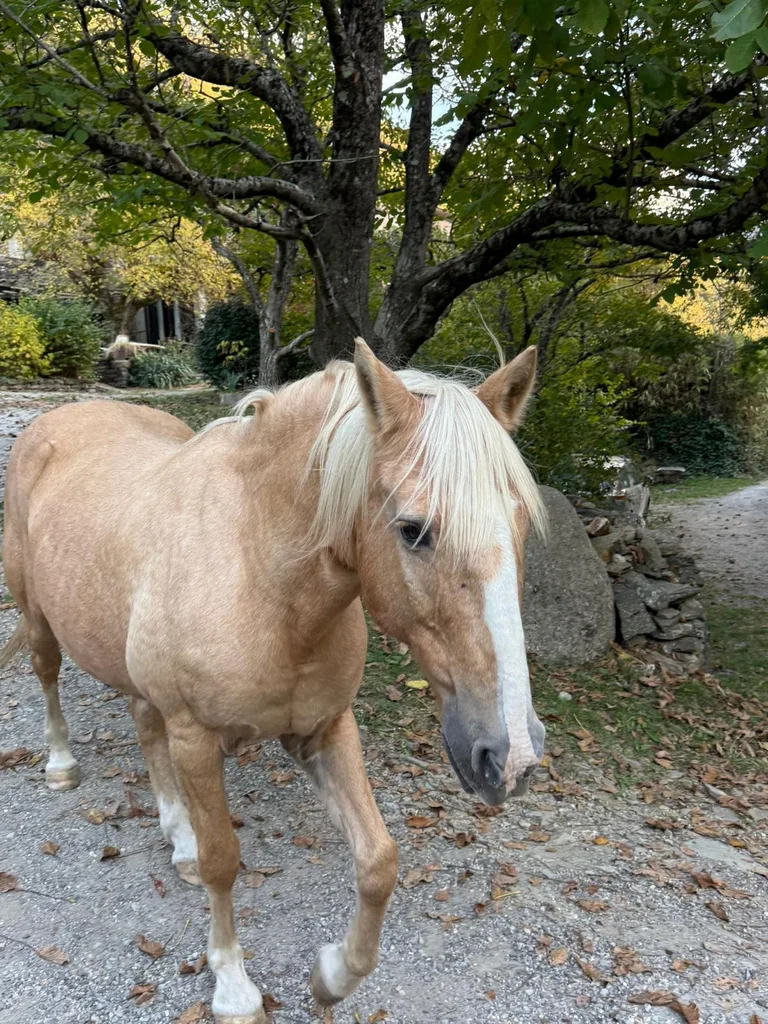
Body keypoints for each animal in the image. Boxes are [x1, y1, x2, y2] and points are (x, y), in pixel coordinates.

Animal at [2, 339, 546, 1023]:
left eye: (522, 527)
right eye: (413, 530)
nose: (511, 756)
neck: (258, 572)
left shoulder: (324, 730)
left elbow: (379, 861)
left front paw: (333, 976)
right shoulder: (195, 740)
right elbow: (223, 863)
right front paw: (233, 987)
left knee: (143, 724)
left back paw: (176, 837)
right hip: (38, 618)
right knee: (48, 677)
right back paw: (61, 766)